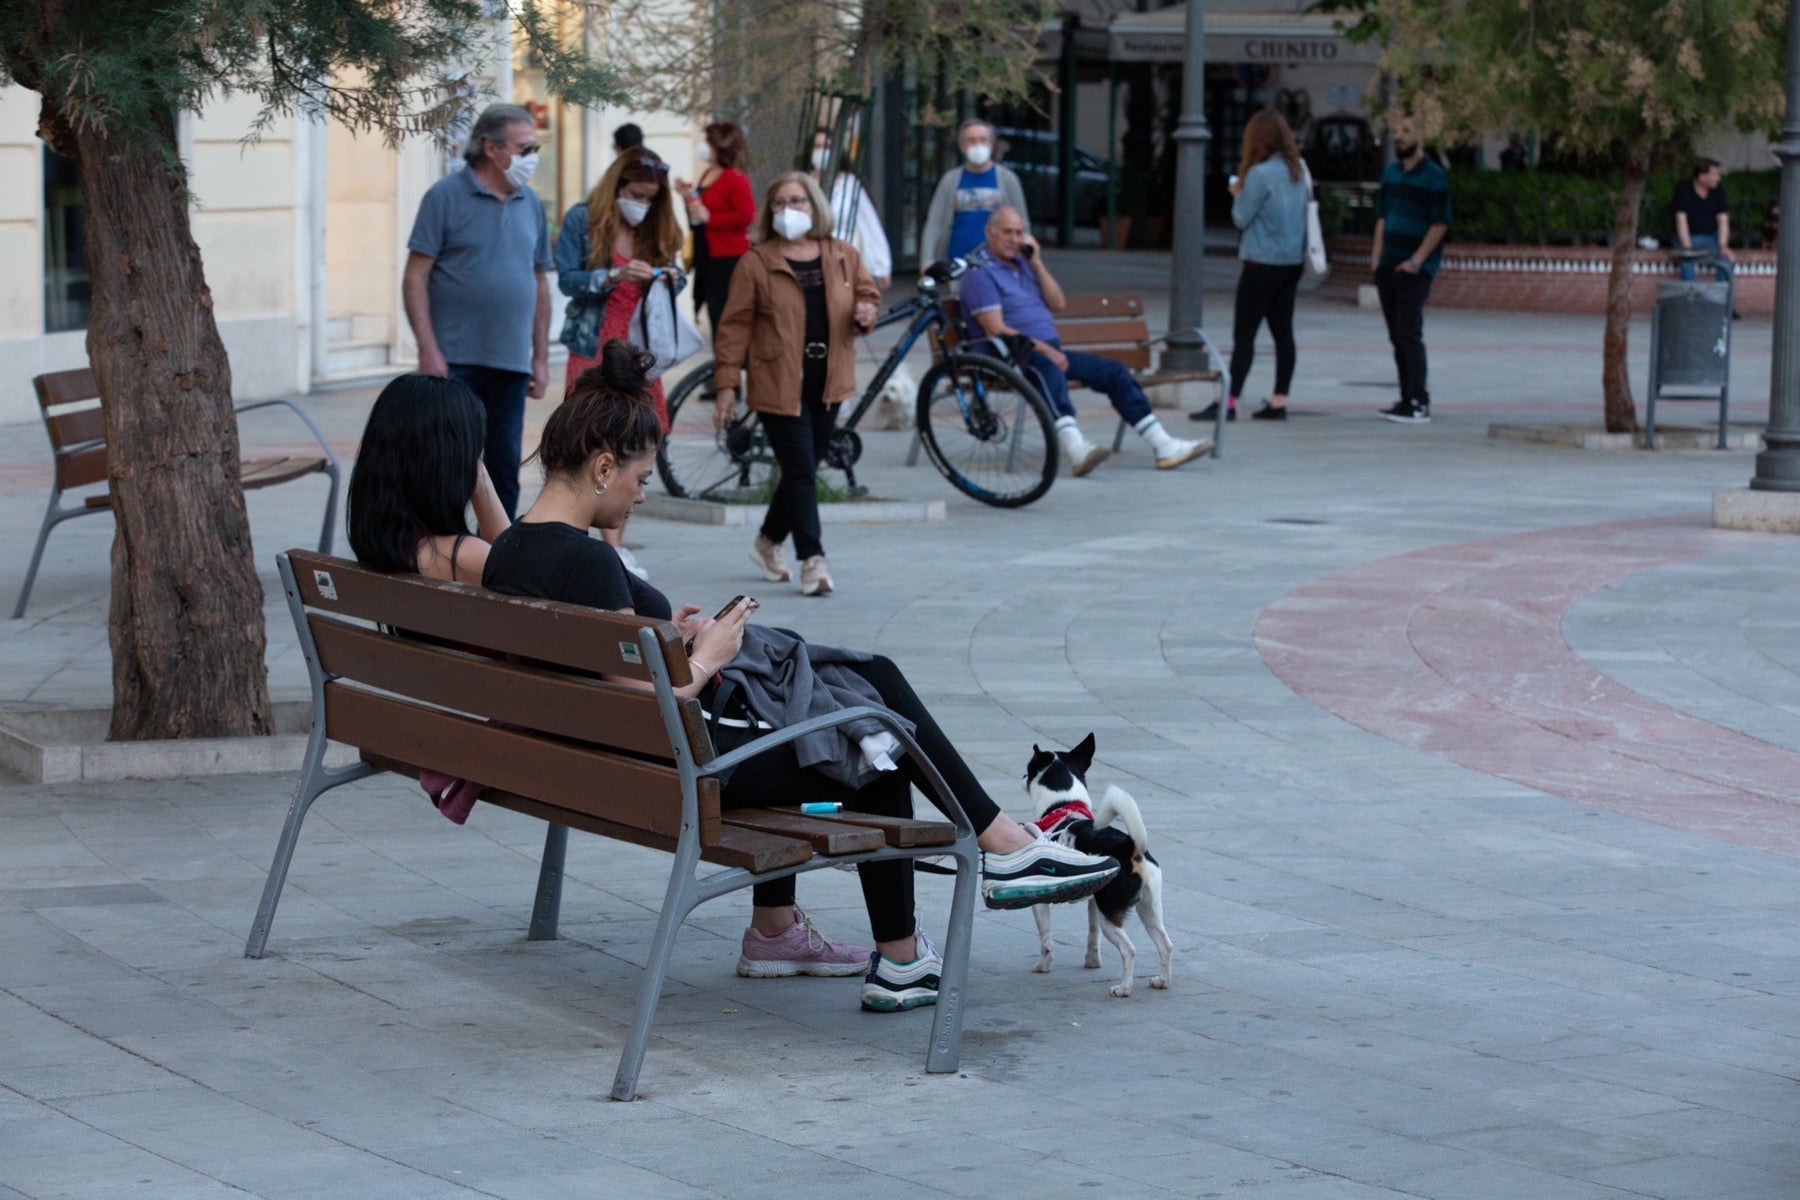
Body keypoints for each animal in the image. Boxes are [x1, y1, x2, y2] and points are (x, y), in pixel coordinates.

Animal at [1022, 737, 1173, 1000]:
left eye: (1029, 769)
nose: (1022, 777)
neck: (1063, 807)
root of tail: (1131, 847)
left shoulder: (1039, 900)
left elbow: (1046, 939)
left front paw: (1043, 966)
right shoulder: (1093, 898)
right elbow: (1093, 935)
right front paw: (1092, 961)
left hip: (1111, 913)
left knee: (1129, 950)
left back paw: (1124, 988)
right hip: (1148, 909)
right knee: (1165, 944)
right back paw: (1162, 981)